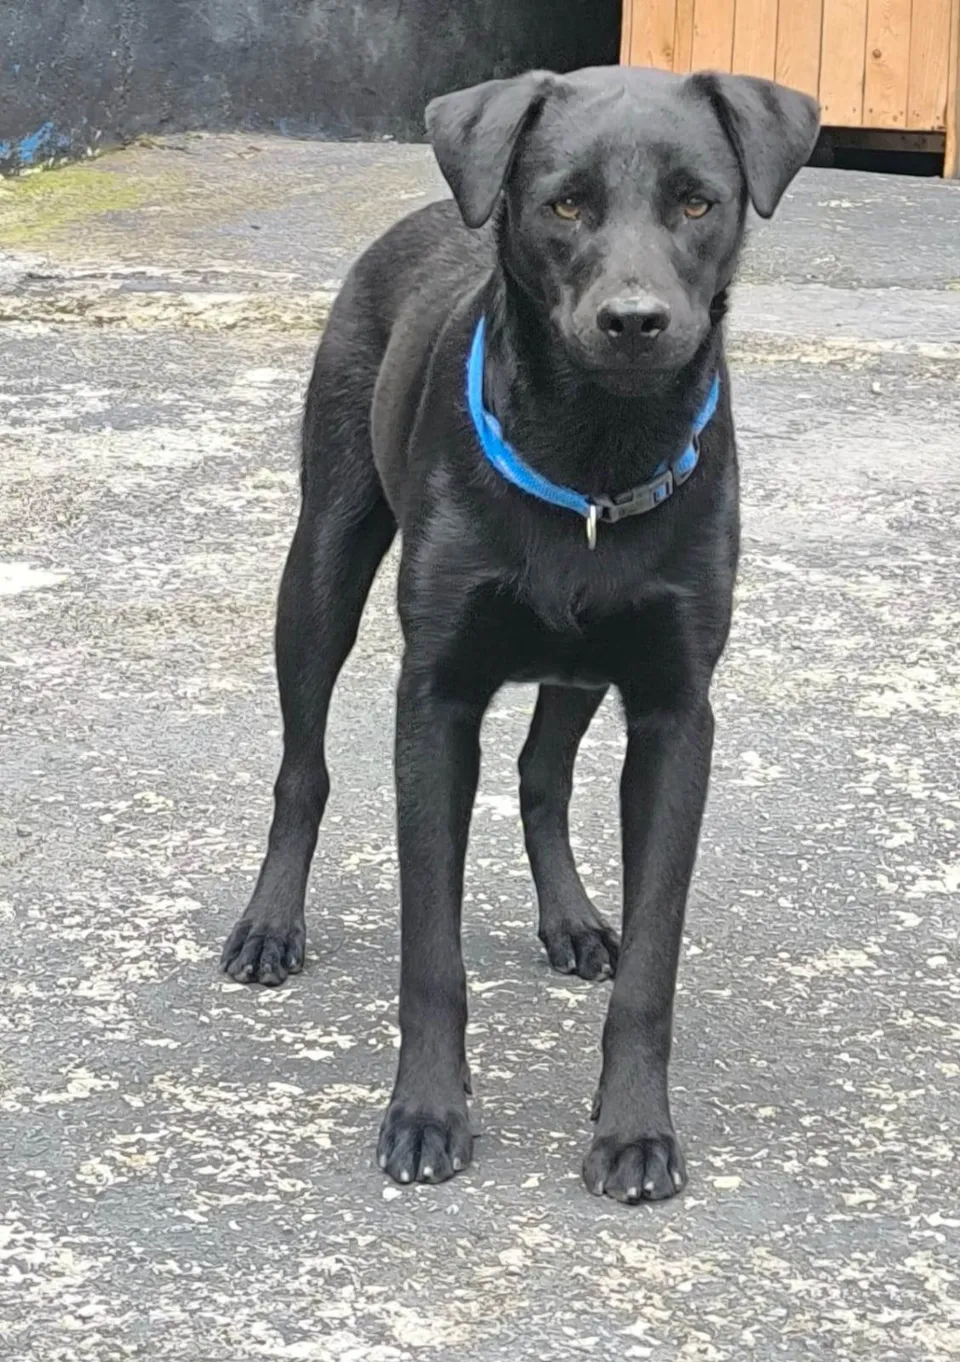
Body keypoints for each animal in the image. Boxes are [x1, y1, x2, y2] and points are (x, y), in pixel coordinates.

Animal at [221, 65, 819, 1203]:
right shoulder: (434, 702)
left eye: (697, 203)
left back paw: (573, 917)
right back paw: (270, 925)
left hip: (580, 668)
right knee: (301, 771)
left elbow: (653, 964)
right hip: (319, 573)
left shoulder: (676, 714)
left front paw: (634, 1131)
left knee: (542, 776)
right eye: (566, 204)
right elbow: (430, 951)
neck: (594, 446)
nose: (635, 320)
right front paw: (425, 1112)